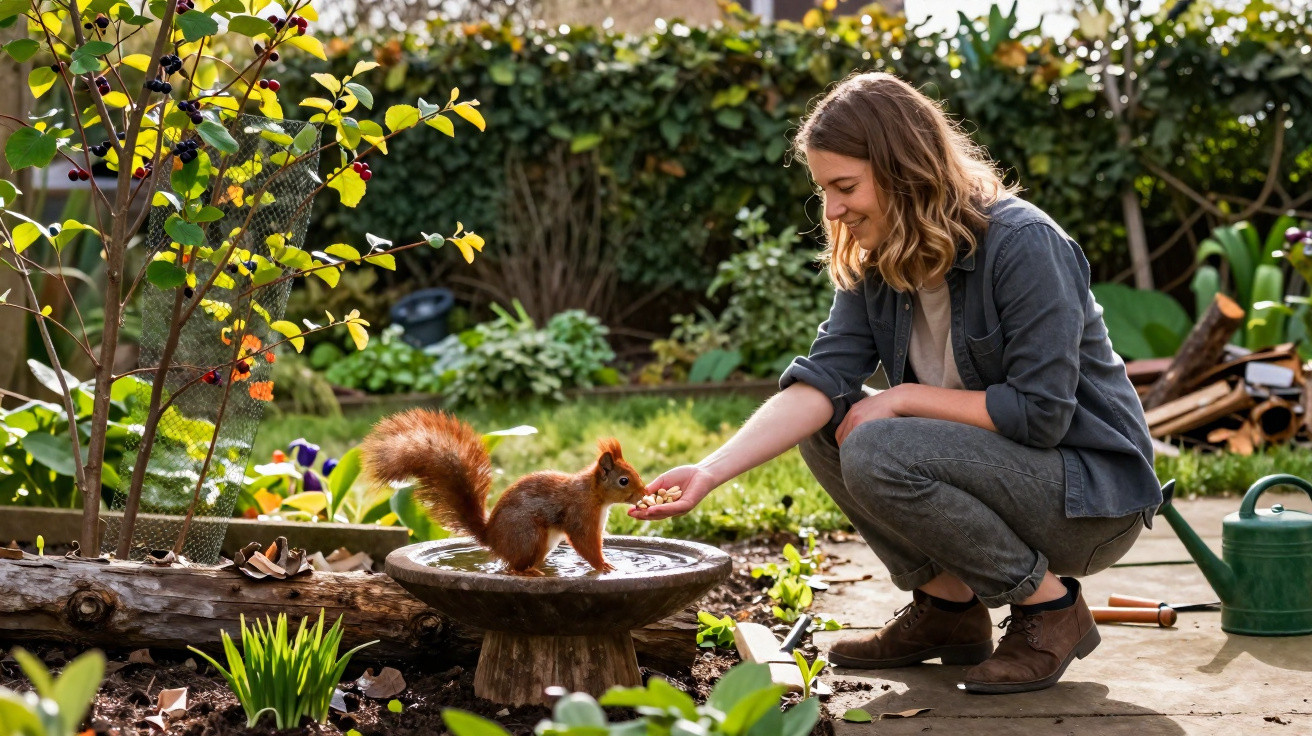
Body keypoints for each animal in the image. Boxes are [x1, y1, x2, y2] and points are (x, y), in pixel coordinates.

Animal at [360, 408, 649, 575]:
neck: (594, 495)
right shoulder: (580, 515)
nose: (644, 492)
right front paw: (603, 565)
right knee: (514, 568)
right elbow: (584, 543)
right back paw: (529, 573)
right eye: (624, 480)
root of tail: (492, 538)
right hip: (529, 535)